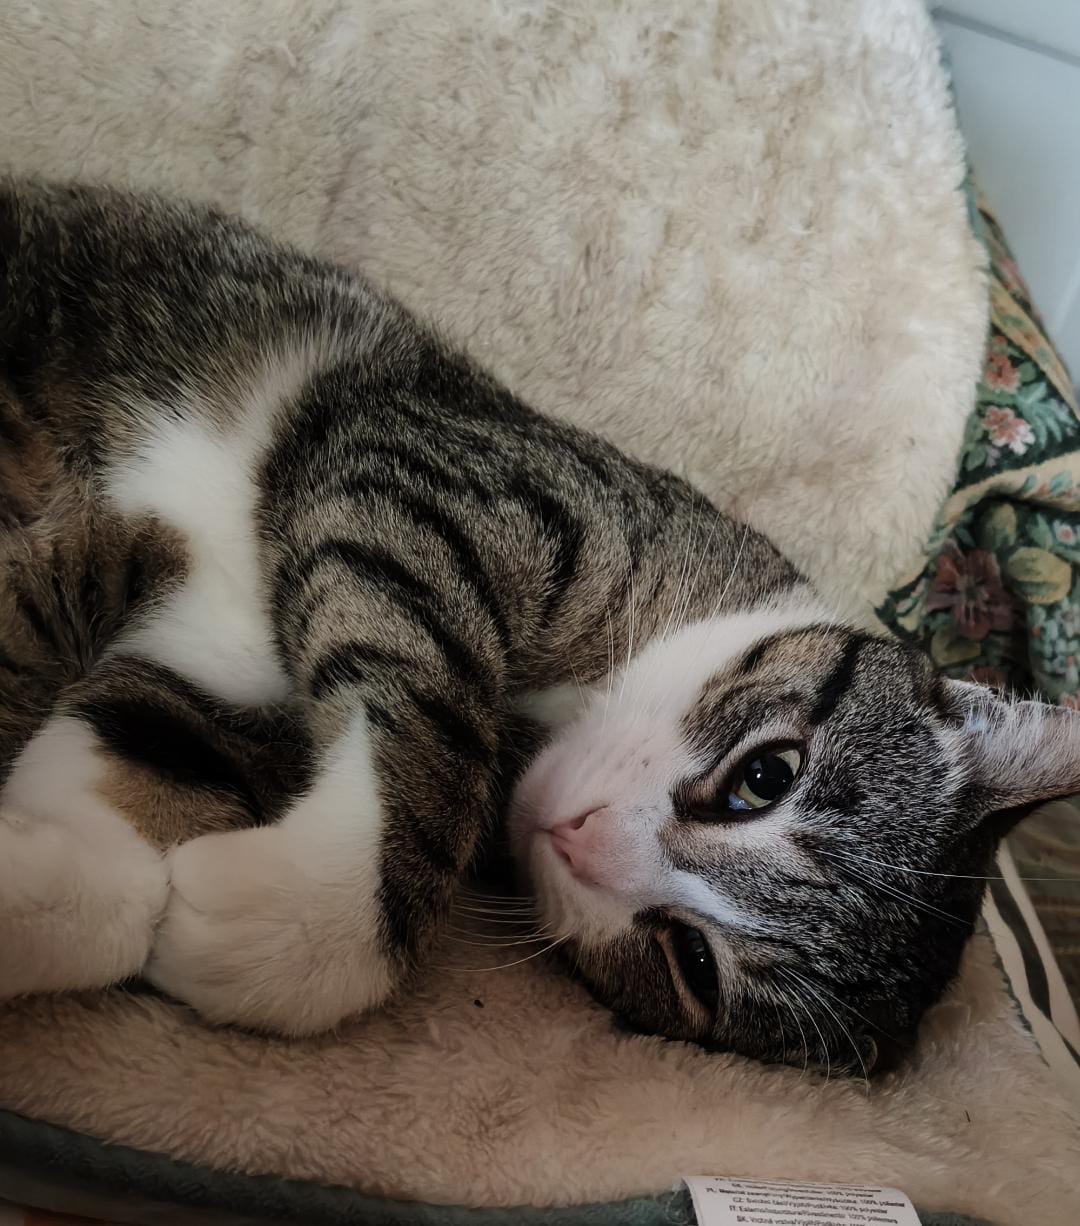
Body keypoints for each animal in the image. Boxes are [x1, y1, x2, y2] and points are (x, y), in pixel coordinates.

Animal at [0, 179, 1076, 1078]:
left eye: (690, 960)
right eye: (766, 776)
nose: (580, 837)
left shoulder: (200, 661)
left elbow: (139, 766)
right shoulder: (426, 479)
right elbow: (433, 727)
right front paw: (326, 907)